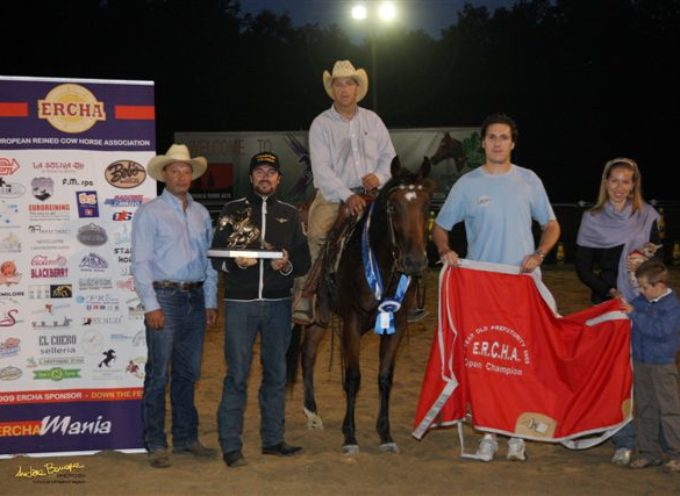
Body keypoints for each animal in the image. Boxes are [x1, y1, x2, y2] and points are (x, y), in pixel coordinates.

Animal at [294, 156, 430, 454]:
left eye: (425, 206)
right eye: (393, 206)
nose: (415, 262)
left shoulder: (396, 324)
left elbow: (385, 378)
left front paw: (385, 434)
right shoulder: (352, 323)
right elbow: (353, 378)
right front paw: (350, 436)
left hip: (320, 318)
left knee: (308, 353)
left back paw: (312, 413)